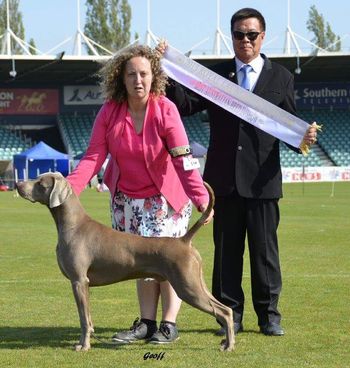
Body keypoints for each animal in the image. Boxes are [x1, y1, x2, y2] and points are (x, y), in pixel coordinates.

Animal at [17, 172, 235, 350]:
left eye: (40, 183)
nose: (18, 184)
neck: (72, 225)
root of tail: (183, 240)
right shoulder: (82, 283)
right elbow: (87, 318)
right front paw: (82, 343)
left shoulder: (79, 281)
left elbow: (83, 319)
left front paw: (84, 346)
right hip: (195, 281)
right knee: (226, 309)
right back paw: (227, 341)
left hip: (187, 285)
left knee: (222, 311)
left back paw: (228, 345)